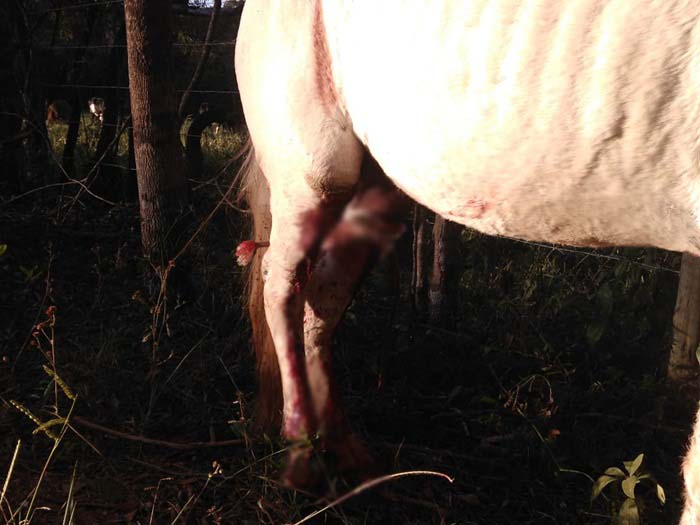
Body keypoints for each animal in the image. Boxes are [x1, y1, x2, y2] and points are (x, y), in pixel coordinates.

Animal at [234, 0, 700, 516]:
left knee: (322, 302)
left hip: (372, 184)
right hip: (311, 172)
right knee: (282, 288)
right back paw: (302, 462)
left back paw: (353, 462)